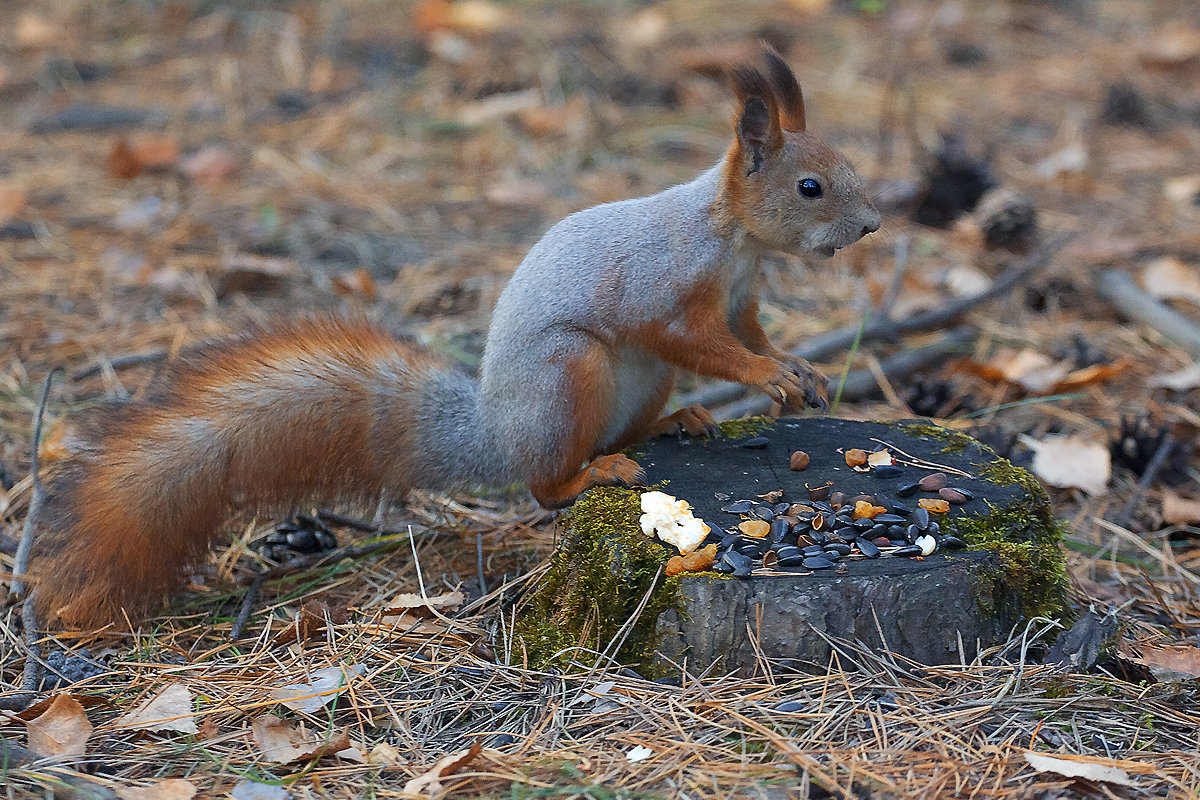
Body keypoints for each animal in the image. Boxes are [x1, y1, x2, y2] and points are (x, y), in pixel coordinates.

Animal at [28, 47, 883, 628]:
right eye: (810, 186)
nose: (874, 224)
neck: (733, 238)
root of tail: (495, 433)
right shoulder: (666, 287)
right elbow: (695, 339)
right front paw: (767, 378)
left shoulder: (741, 295)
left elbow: (750, 333)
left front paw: (795, 369)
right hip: (569, 374)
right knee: (544, 483)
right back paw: (593, 472)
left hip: (634, 383)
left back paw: (676, 421)